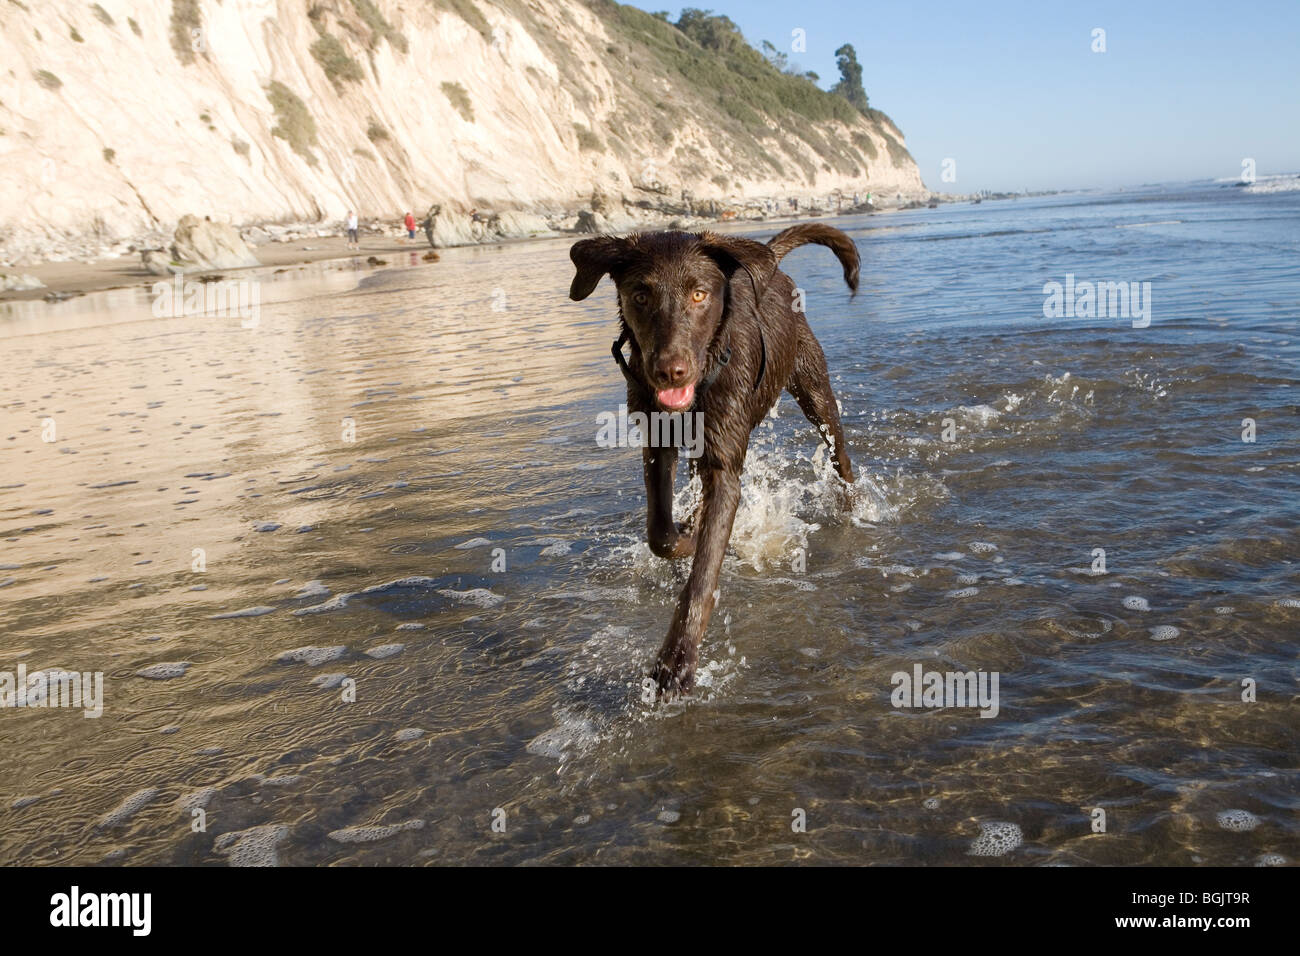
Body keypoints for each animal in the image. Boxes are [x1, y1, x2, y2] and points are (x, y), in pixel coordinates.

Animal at [572, 222, 863, 697]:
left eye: (699, 294)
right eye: (640, 295)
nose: (671, 371)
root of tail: (770, 261)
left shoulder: (725, 467)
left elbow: (704, 574)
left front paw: (677, 662)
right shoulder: (657, 445)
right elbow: (660, 532)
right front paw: (685, 534)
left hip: (814, 389)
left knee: (841, 455)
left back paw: (853, 507)